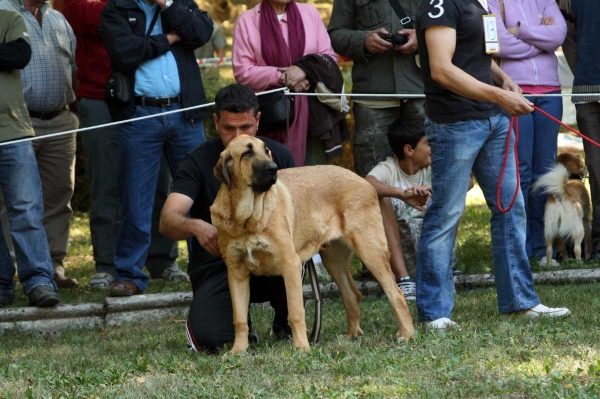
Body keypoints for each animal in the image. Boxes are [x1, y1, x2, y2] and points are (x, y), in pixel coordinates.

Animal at [210, 136, 412, 354]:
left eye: (267, 150)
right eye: (247, 153)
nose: (274, 169)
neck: (247, 220)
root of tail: (365, 181)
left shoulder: (290, 266)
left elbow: (296, 312)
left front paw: (300, 348)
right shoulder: (236, 273)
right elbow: (239, 319)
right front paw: (238, 351)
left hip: (370, 250)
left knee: (395, 293)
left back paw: (407, 334)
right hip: (334, 260)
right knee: (352, 294)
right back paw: (351, 335)